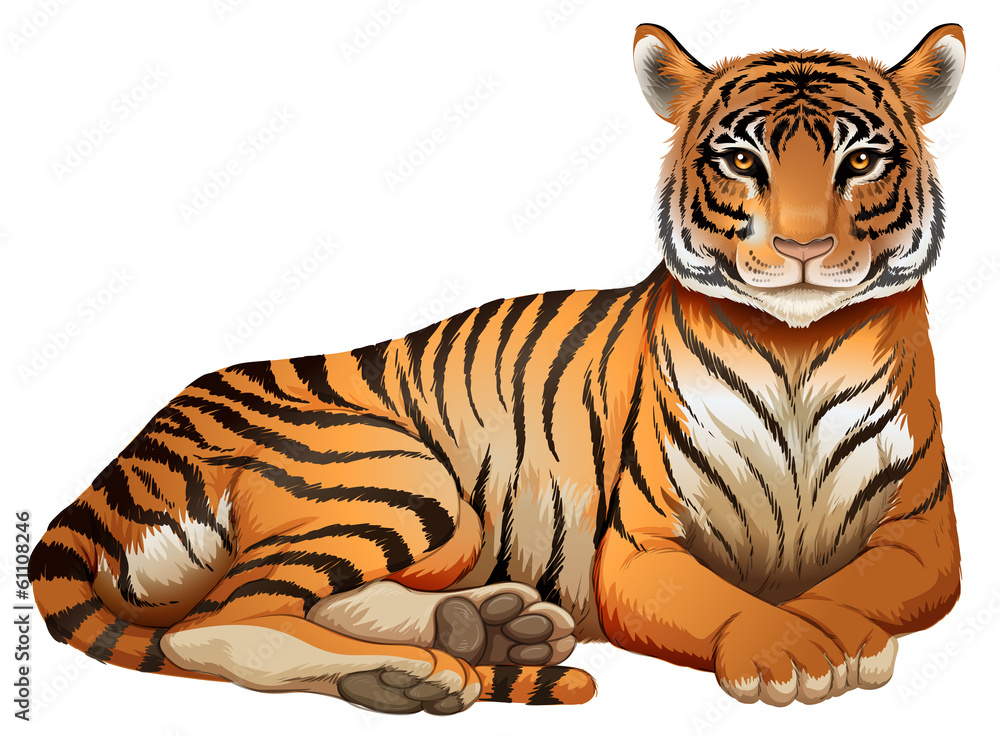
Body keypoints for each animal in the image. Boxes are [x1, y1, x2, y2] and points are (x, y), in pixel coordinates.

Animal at [29, 22, 965, 712]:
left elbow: (846, 588)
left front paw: (833, 641)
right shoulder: (641, 548)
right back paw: (428, 669)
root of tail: (131, 451)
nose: (805, 249)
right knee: (215, 621)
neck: (797, 346)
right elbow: (737, 602)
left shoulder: (923, 537)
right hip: (399, 477)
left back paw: (485, 631)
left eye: (860, 161)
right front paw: (794, 655)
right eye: (743, 161)